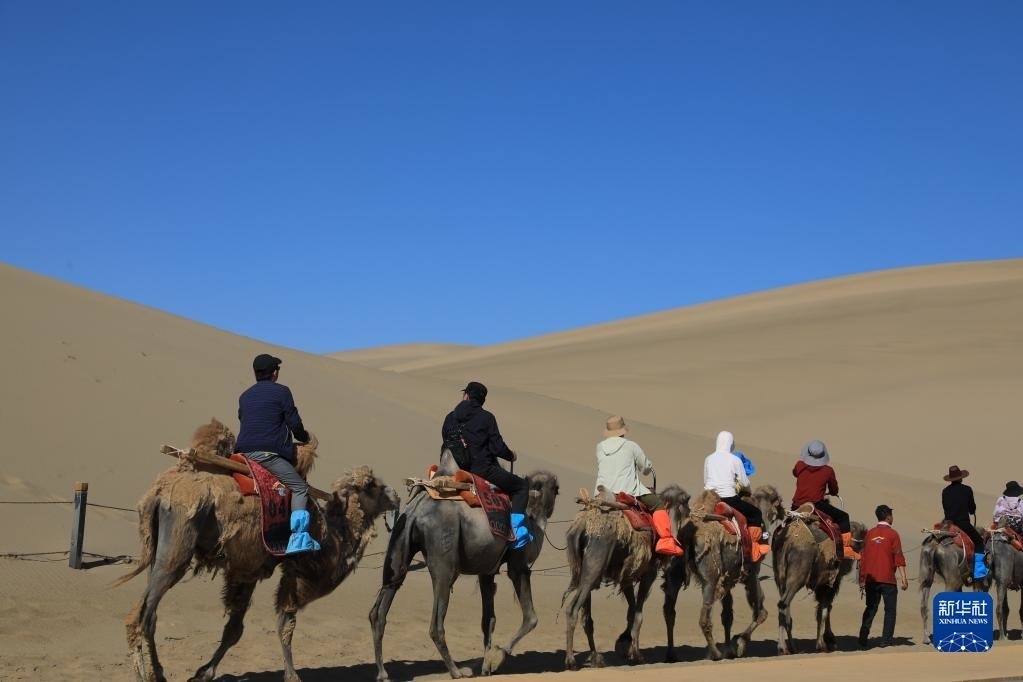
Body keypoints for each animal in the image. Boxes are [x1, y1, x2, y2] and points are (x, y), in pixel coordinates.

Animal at [115, 419, 400, 682]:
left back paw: (159, 673)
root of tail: (161, 492)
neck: (330, 537)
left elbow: (234, 630)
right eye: (372, 485)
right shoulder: (294, 571)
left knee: (150, 615)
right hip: (177, 548)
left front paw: (203, 672)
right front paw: (292, 675)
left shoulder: (247, 570)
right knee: (140, 617)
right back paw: (144, 675)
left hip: (158, 548)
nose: (396, 494)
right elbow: (285, 624)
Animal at [369, 450, 559, 681]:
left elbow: (488, 619)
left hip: (399, 543)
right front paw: (497, 657)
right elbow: (531, 617)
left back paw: (382, 673)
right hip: (444, 557)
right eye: (557, 489)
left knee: (382, 604)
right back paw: (455, 671)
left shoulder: (486, 571)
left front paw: (486, 666)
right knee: (436, 621)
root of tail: (415, 511)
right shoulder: (519, 565)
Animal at [561, 484, 691, 669]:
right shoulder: (649, 571)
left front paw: (624, 643)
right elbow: (638, 612)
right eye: (686, 504)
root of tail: (581, 526)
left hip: (581, 568)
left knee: (587, 618)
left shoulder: (627, 575)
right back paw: (571, 661)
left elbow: (631, 609)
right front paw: (635, 655)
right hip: (594, 565)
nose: (691, 514)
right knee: (572, 609)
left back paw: (596, 658)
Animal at [663, 485, 783, 661]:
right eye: (778, 501)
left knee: (669, 610)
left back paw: (672, 654)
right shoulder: (752, 572)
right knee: (704, 618)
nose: (783, 512)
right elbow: (760, 612)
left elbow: (727, 615)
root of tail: (689, 534)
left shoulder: (727, 577)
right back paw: (715, 654)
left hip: (676, 571)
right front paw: (738, 644)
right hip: (710, 577)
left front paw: (730, 649)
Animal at [772, 500, 866, 654]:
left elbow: (821, 609)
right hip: (799, 574)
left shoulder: (821, 582)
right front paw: (825, 643)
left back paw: (792, 646)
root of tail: (789, 539)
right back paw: (783, 647)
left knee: (785, 606)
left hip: (779, 575)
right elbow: (825, 609)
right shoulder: (831, 581)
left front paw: (825, 641)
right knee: (784, 603)